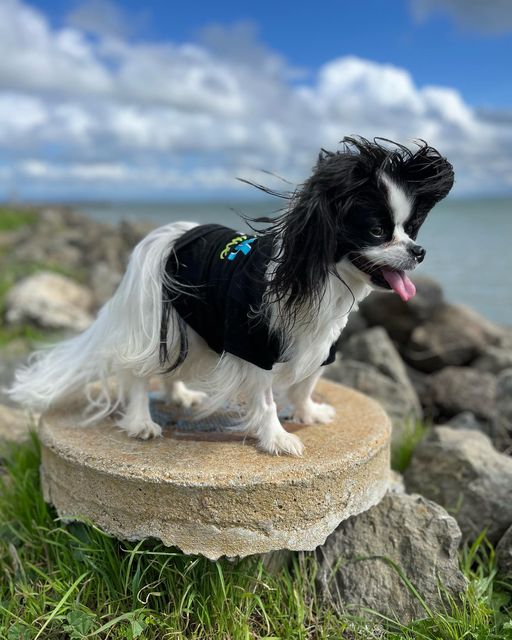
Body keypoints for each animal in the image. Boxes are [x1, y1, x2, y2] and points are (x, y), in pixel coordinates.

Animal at [8, 137, 454, 456]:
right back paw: (141, 422)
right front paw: (277, 439)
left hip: (192, 324)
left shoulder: (320, 345)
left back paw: (180, 395)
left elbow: (305, 384)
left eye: (411, 228)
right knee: (137, 374)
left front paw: (309, 414)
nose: (419, 251)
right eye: (377, 232)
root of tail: (162, 236)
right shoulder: (253, 346)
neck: (319, 276)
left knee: (173, 365)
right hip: (155, 321)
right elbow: (268, 400)